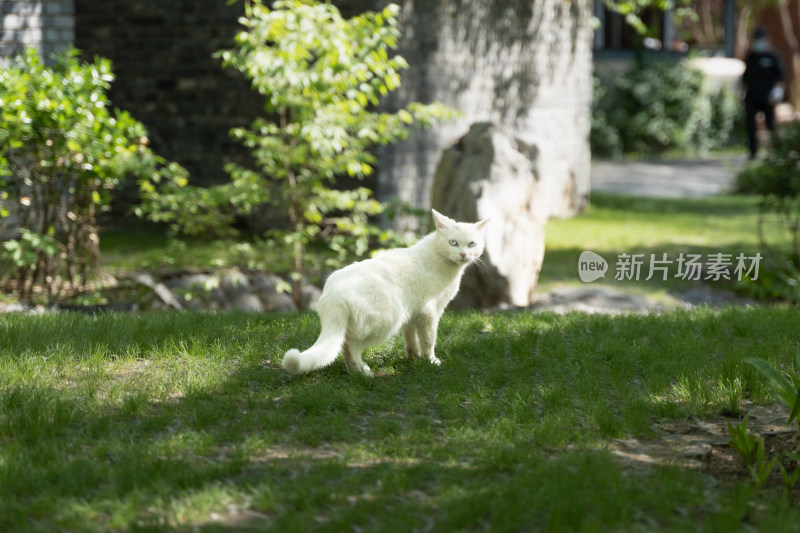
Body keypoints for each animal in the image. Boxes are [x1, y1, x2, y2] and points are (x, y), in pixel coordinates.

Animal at [284, 210, 490, 376]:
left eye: (471, 244)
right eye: (453, 243)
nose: (463, 254)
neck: (442, 260)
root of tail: (333, 295)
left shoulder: (413, 313)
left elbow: (411, 338)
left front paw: (414, 358)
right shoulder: (429, 312)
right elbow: (428, 340)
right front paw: (430, 361)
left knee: (344, 344)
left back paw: (355, 371)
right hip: (388, 319)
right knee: (350, 344)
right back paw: (362, 372)